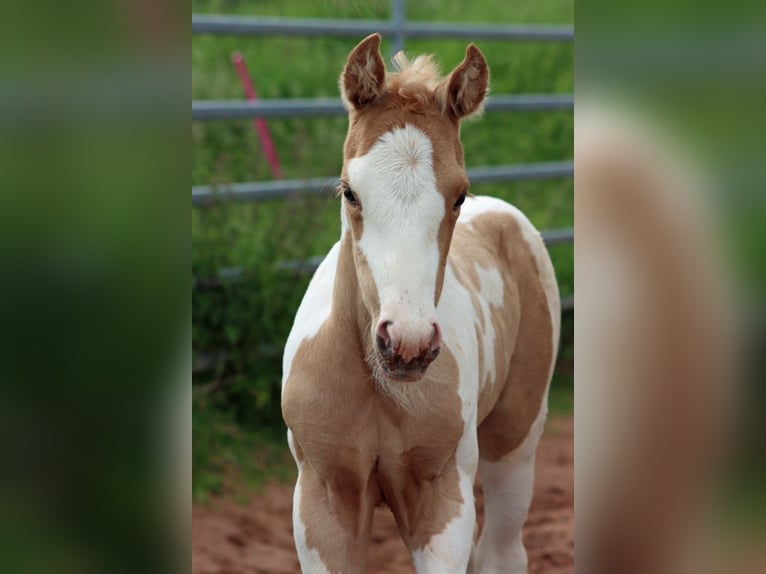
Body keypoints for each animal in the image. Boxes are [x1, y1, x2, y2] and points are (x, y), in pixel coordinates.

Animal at [282, 34, 560, 574]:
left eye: (458, 196)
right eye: (350, 192)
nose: (406, 344)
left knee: (502, 550)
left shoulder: (441, 502)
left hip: (515, 443)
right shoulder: (321, 504)